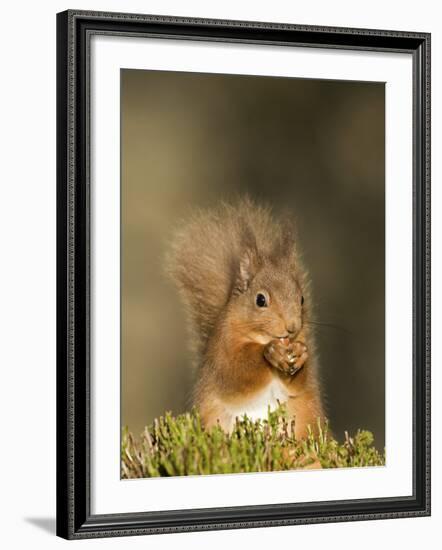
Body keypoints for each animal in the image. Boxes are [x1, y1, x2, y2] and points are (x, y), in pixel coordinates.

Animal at [166, 198, 324, 440]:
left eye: (302, 299)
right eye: (260, 300)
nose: (292, 327)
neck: (259, 336)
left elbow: (299, 385)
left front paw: (299, 354)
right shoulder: (221, 354)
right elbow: (236, 375)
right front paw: (269, 352)